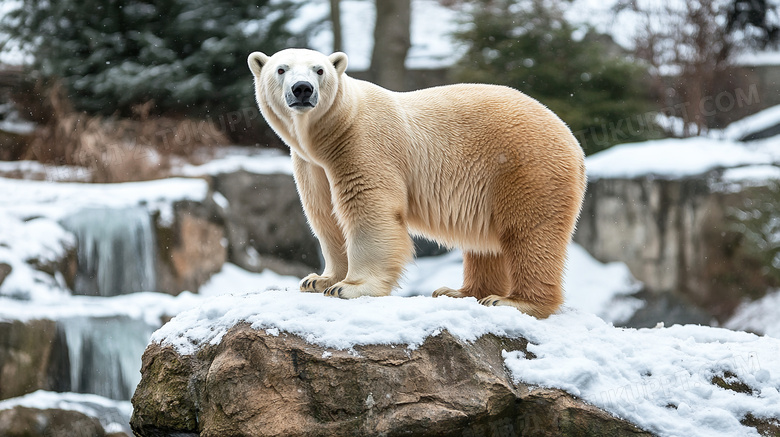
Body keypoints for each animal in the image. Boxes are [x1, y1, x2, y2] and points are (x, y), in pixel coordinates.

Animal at [250, 48, 584, 316]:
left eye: (319, 70)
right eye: (281, 69)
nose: (302, 89)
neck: (334, 129)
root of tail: (571, 139)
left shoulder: (364, 144)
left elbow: (369, 209)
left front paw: (350, 287)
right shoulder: (311, 164)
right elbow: (324, 215)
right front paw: (319, 279)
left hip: (524, 167)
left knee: (528, 231)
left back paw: (513, 301)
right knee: (485, 244)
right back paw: (459, 292)